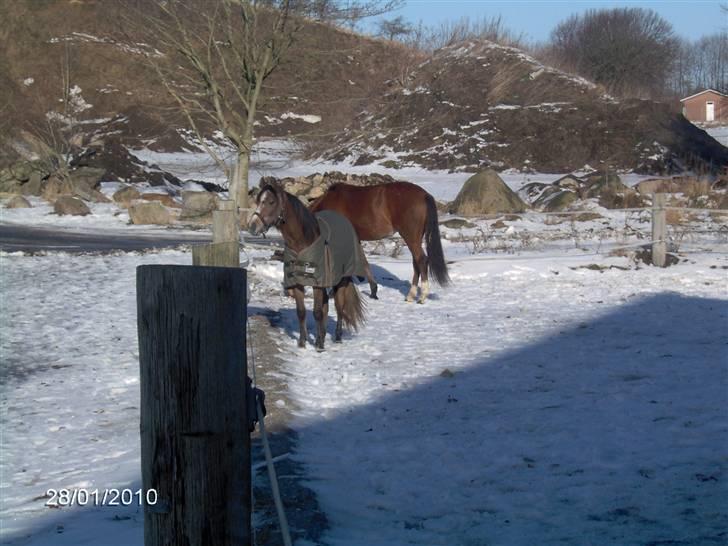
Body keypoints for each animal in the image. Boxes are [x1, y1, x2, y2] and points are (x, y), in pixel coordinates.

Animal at [308, 182, 450, 302]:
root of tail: (424, 195)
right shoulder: (356, 239)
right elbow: (363, 262)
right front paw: (373, 291)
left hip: (410, 237)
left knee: (421, 260)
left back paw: (422, 296)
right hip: (415, 239)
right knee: (416, 263)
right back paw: (411, 296)